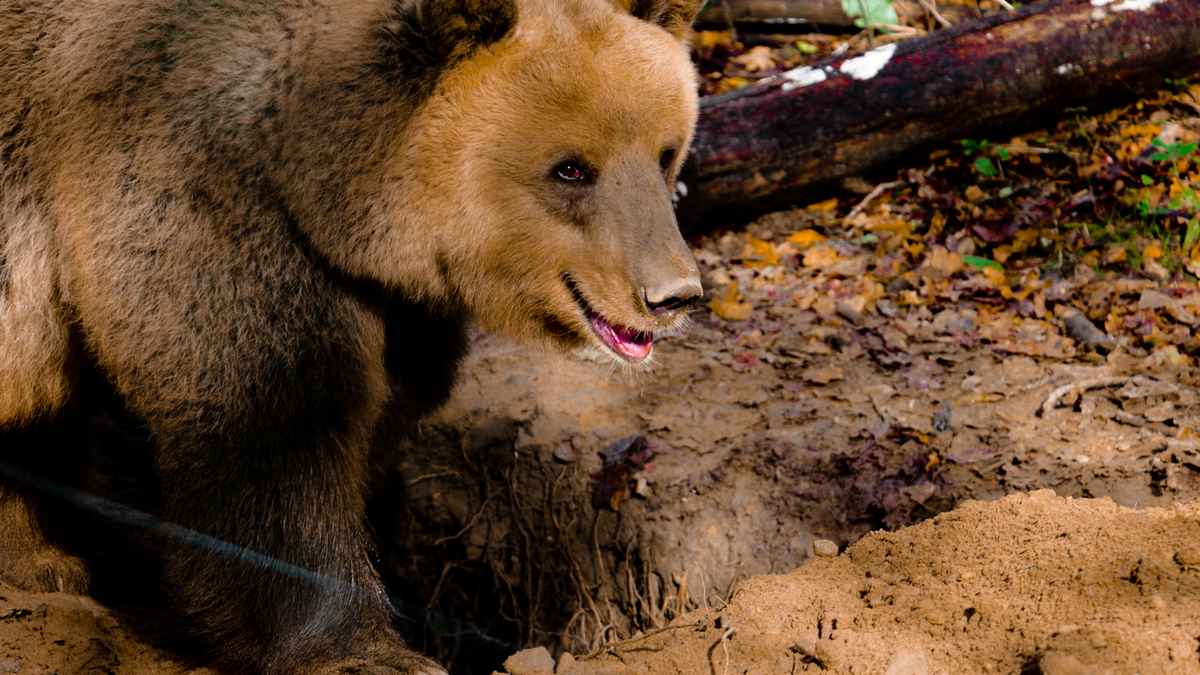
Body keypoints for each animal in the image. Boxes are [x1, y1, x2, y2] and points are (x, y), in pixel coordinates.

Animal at [0, 0, 705, 672]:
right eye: (571, 169)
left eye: (666, 152)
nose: (672, 295)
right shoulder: (194, 193)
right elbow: (275, 421)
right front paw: (360, 648)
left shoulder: (395, 306)